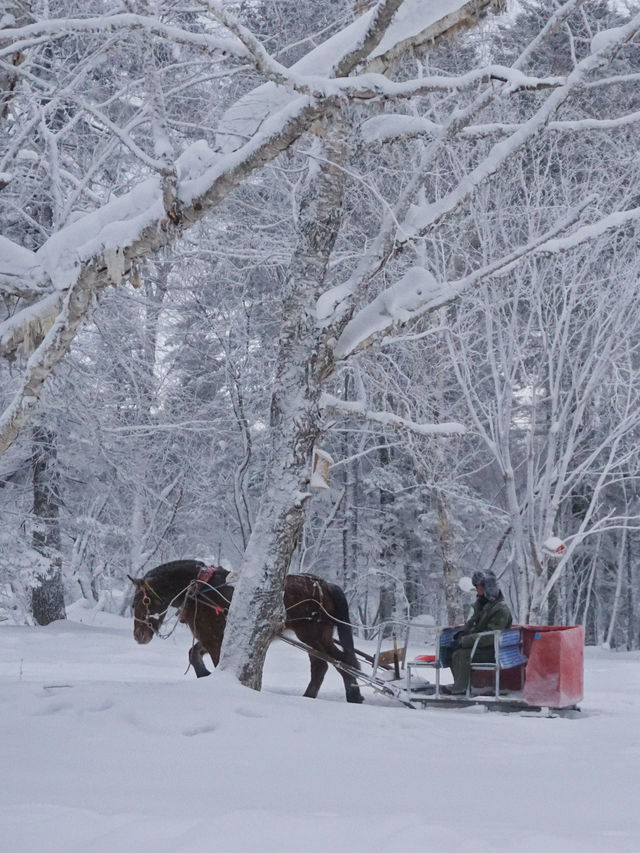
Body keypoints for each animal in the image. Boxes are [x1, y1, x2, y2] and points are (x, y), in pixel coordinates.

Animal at [129, 556, 364, 704]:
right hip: (318, 636)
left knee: (335, 662)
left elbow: (214, 662)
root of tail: (325, 584)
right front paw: (204, 675)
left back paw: (344, 696)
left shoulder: (213, 638)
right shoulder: (212, 637)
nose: (139, 636)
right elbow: (193, 654)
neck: (200, 589)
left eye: (141, 601)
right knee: (332, 663)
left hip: (310, 634)